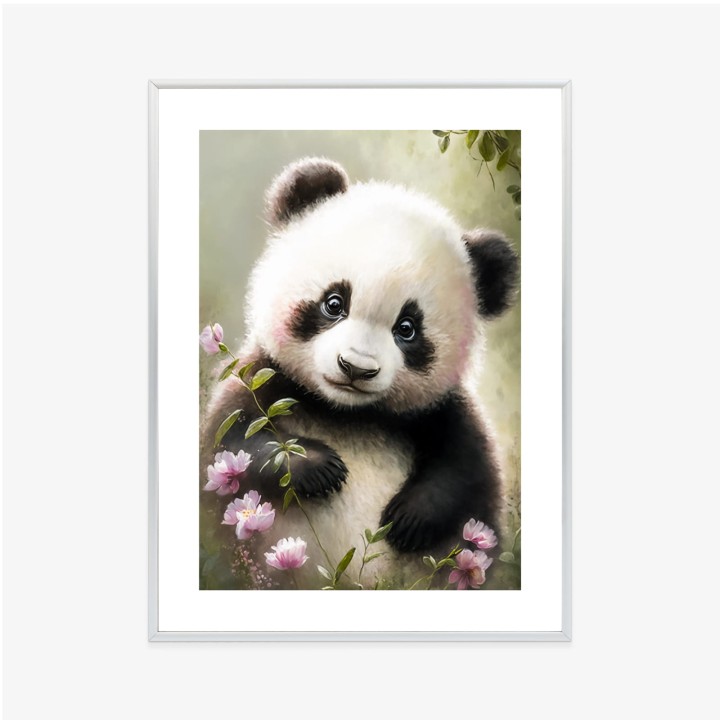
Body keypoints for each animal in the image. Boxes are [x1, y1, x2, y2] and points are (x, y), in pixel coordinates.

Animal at [201, 157, 519, 589]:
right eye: (334, 303)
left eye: (407, 328)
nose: (355, 367)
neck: (347, 413)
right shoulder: (263, 378)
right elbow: (233, 443)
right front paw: (319, 467)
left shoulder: (441, 411)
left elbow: (466, 470)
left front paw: (409, 518)